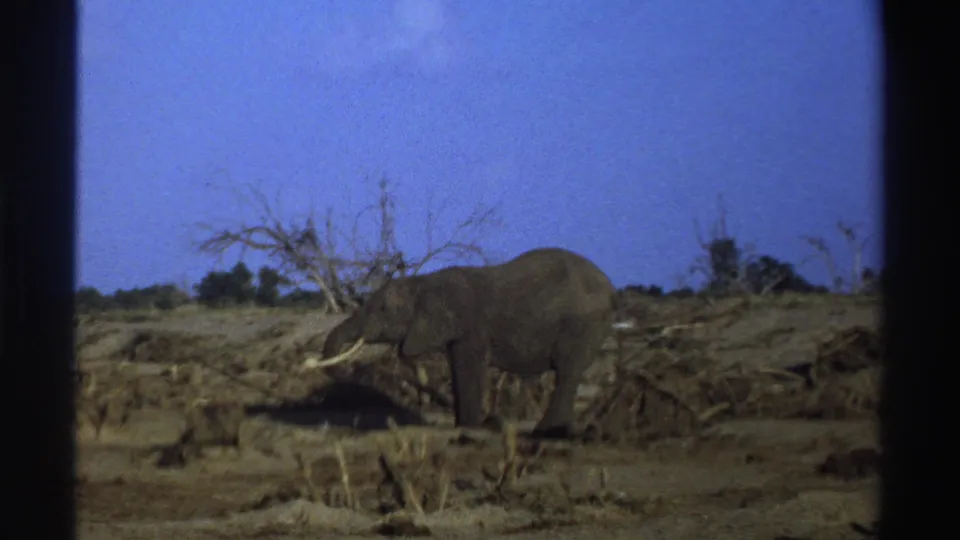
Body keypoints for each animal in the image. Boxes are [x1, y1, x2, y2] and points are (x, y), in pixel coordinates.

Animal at [318, 247, 619, 439]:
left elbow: (468, 368)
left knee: (567, 371)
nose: (349, 372)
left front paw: (470, 427)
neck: (424, 282)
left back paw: (546, 432)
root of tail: (610, 287)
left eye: (382, 310)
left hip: (581, 324)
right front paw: (467, 425)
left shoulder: (471, 327)